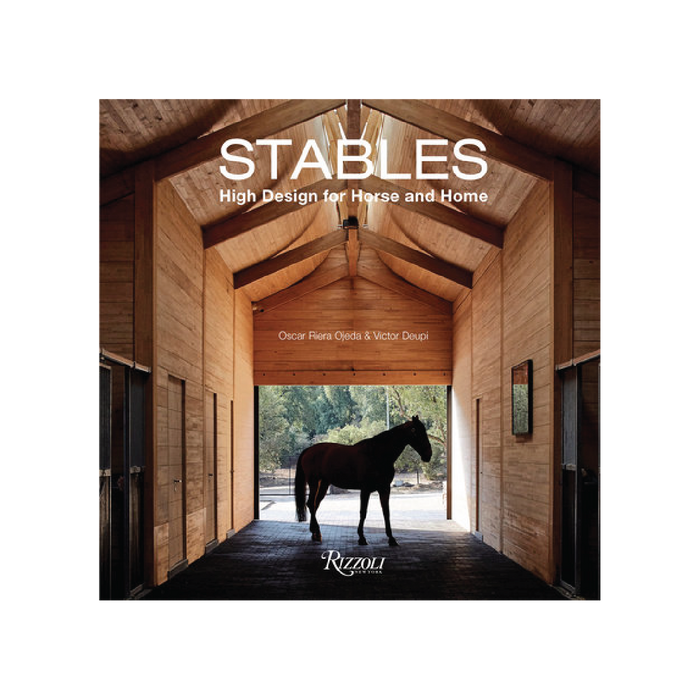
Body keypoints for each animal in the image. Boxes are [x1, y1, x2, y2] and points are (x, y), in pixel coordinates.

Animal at [294, 416, 432, 546]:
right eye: (416, 431)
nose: (428, 454)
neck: (376, 454)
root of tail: (308, 450)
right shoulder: (365, 490)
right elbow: (363, 512)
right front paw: (361, 537)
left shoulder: (384, 488)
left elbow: (386, 512)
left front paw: (391, 539)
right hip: (313, 482)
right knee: (311, 504)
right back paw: (316, 532)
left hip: (323, 484)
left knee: (315, 505)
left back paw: (315, 533)